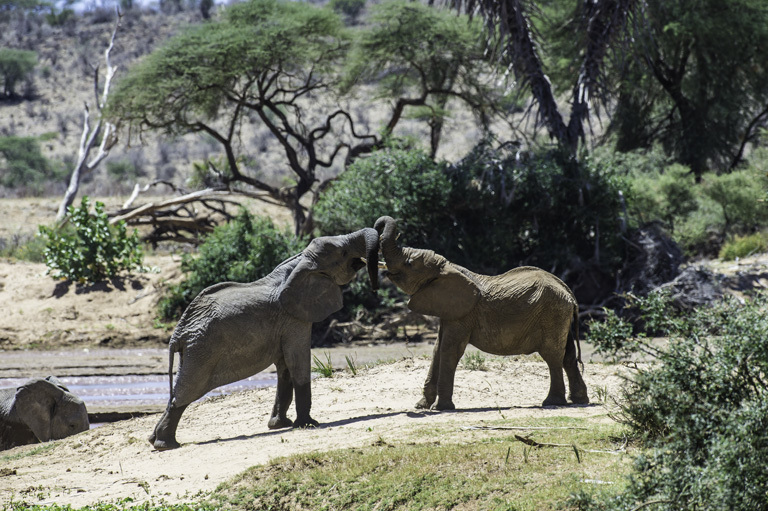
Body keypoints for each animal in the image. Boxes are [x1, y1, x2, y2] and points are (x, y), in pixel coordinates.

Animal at [148, 226, 380, 450]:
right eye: (343, 253)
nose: (375, 286)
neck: (301, 260)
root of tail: (178, 333)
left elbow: (285, 369)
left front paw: (280, 425)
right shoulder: (294, 319)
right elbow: (297, 362)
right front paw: (309, 424)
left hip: (195, 350)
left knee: (180, 390)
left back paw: (154, 440)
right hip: (202, 349)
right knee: (187, 391)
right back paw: (166, 445)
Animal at [376, 217, 592, 412]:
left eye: (409, 263)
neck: (447, 267)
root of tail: (570, 294)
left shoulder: (463, 315)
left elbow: (449, 350)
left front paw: (440, 408)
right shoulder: (450, 311)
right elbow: (437, 349)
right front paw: (421, 406)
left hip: (552, 314)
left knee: (552, 355)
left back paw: (552, 402)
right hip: (560, 315)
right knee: (568, 355)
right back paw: (579, 400)